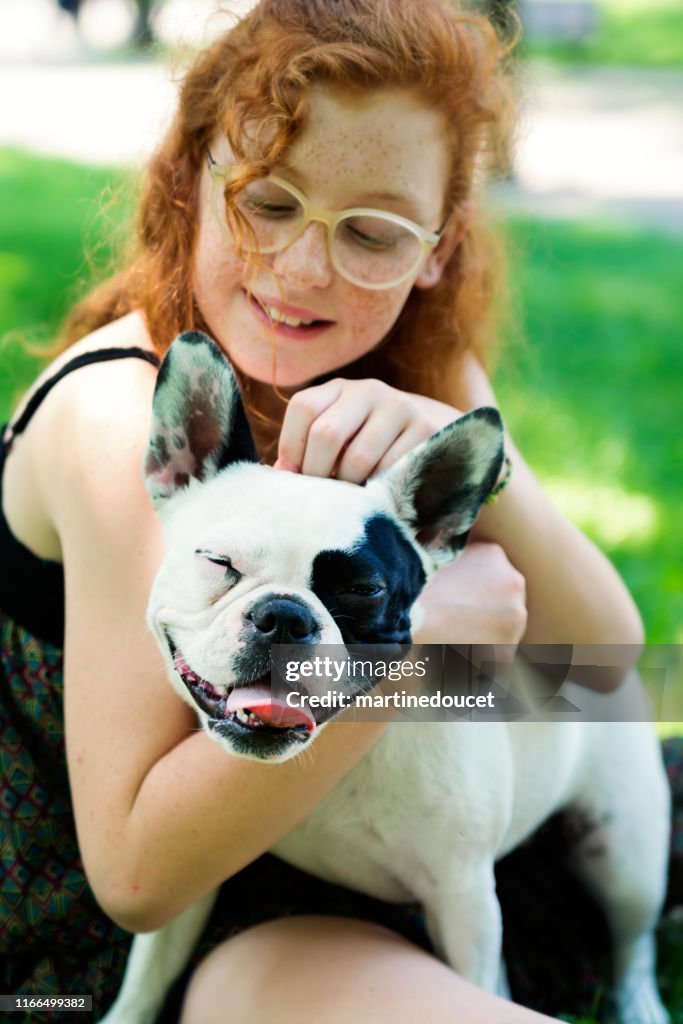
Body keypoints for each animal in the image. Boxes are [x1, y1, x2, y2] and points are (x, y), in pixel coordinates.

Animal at [100, 335, 667, 1024]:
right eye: (218, 561)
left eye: (364, 590)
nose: (284, 617)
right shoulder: (184, 878)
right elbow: (145, 979)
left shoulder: (464, 898)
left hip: (625, 850)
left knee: (633, 942)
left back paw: (642, 1004)